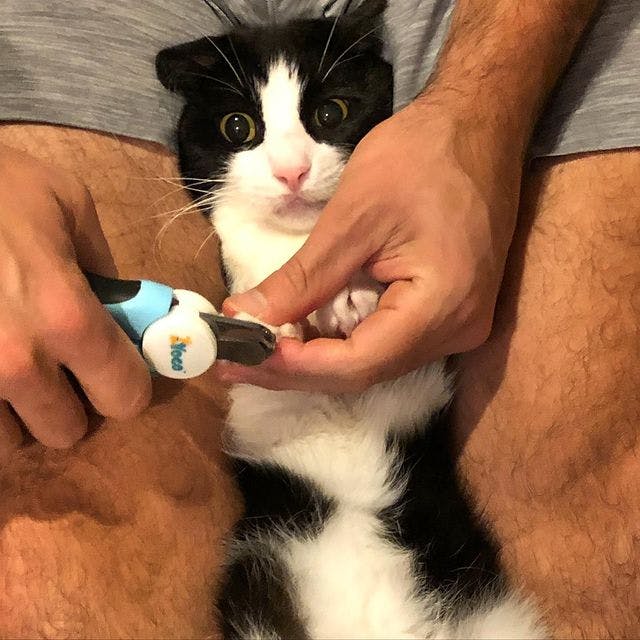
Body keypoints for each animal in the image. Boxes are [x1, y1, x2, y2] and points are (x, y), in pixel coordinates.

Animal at [156, 2, 544, 636]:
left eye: (330, 113)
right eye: (238, 127)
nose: (292, 171)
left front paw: (353, 297)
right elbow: (247, 244)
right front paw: (280, 315)